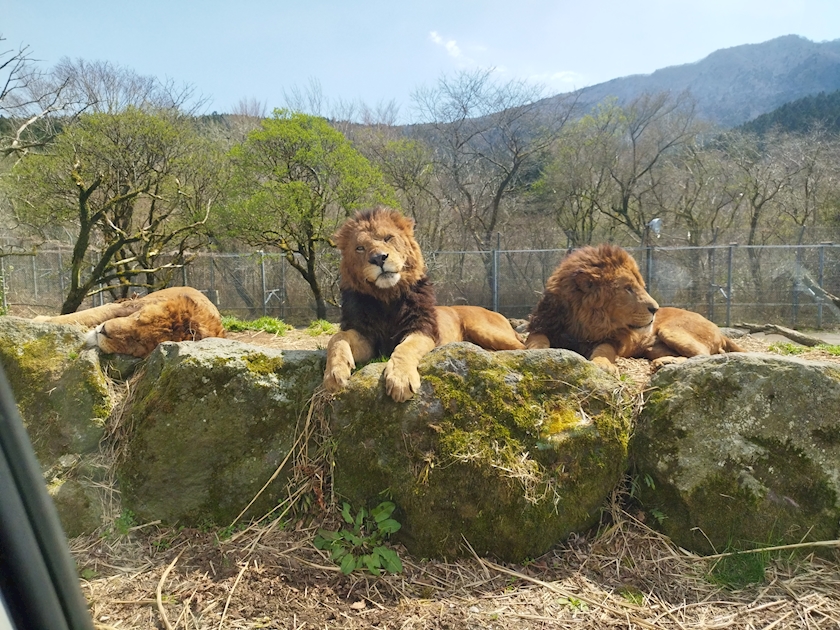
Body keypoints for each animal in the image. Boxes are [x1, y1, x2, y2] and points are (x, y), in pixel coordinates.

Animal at [33, 286, 226, 358]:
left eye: (137, 341)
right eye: (138, 318)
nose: (103, 330)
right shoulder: (127, 306)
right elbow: (85, 315)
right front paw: (39, 319)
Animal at [323, 206, 524, 402]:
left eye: (388, 238)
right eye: (360, 248)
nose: (379, 258)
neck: (387, 297)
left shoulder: (422, 330)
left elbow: (405, 348)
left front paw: (401, 379)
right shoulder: (366, 337)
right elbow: (337, 338)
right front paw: (333, 374)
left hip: (485, 330)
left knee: (523, 348)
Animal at [525, 244, 743, 372]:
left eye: (641, 285)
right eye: (628, 288)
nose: (655, 309)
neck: (584, 322)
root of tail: (718, 330)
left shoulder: (614, 340)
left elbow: (604, 350)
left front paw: (602, 364)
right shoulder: (543, 325)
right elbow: (537, 339)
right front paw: (537, 351)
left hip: (672, 330)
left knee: (704, 356)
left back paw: (667, 363)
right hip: (654, 347)